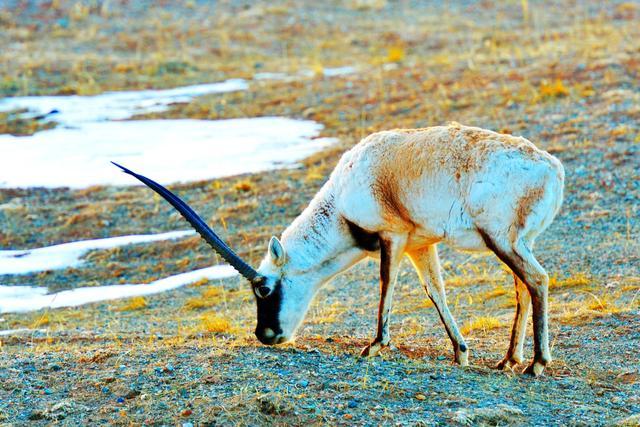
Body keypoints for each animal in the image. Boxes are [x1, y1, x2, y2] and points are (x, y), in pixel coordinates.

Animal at [116, 122, 564, 376]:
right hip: (511, 243)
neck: (343, 192)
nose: (266, 335)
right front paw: (461, 353)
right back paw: (508, 360)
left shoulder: (391, 236)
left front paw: (374, 346)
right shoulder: (420, 244)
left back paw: (536, 365)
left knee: (537, 280)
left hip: (501, 239)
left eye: (264, 288)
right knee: (523, 288)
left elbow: (386, 284)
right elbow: (434, 292)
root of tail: (553, 168)